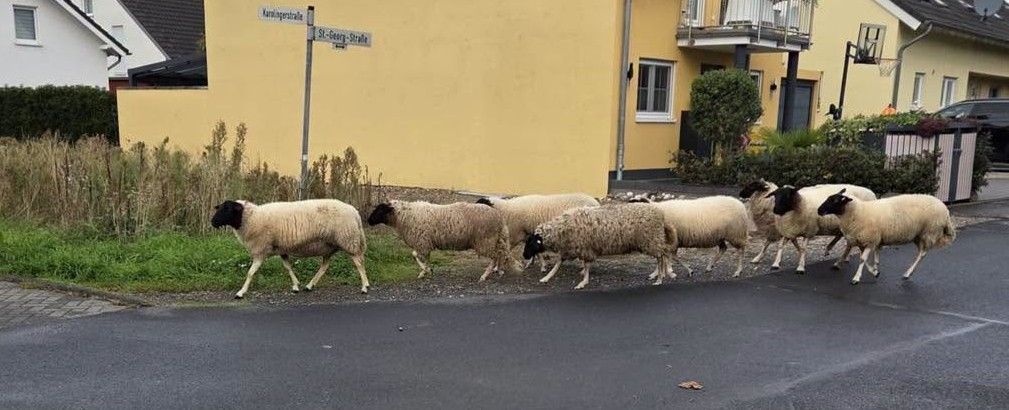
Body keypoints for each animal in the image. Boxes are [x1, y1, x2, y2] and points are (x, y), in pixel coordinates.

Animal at [210, 199, 370, 299]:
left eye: (228, 209)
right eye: (221, 207)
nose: (212, 222)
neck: (251, 218)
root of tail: (355, 212)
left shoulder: (261, 250)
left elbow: (250, 273)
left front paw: (240, 292)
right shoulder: (281, 249)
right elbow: (288, 267)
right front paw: (296, 286)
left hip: (349, 240)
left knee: (359, 263)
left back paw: (364, 287)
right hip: (329, 246)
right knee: (325, 266)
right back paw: (309, 285)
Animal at [367, 200, 518, 281]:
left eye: (380, 210)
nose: (368, 221)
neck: (404, 216)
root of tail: (499, 217)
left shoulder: (422, 242)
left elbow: (415, 255)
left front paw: (425, 270)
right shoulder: (426, 243)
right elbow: (425, 258)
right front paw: (426, 271)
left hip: (485, 240)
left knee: (495, 256)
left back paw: (484, 276)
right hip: (493, 240)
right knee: (501, 254)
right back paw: (498, 270)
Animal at [522, 203, 677, 289]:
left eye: (531, 243)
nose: (524, 256)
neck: (562, 229)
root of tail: (661, 215)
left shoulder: (584, 248)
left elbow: (586, 265)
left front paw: (583, 282)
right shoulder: (571, 248)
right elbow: (558, 263)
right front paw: (546, 277)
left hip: (650, 239)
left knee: (662, 255)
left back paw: (660, 278)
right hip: (652, 240)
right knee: (662, 255)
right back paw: (658, 274)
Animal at [817, 189, 956, 285]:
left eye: (835, 200)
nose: (819, 210)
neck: (858, 211)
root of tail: (945, 210)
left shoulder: (870, 240)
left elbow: (862, 259)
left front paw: (856, 278)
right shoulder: (866, 241)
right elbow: (867, 260)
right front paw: (875, 272)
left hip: (929, 232)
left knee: (922, 254)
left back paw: (907, 273)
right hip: (918, 235)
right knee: (921, 252)